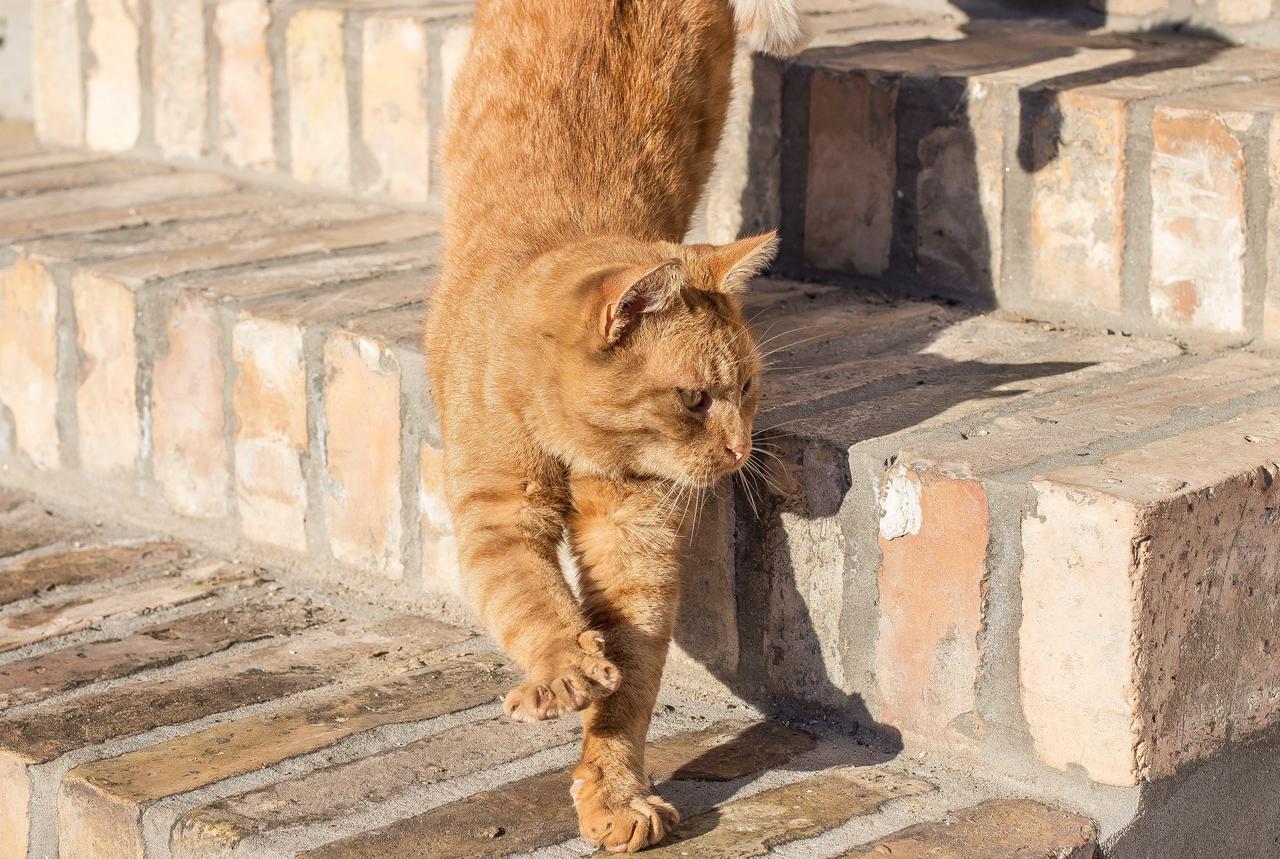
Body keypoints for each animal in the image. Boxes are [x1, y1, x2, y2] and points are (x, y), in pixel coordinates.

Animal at [430, 0, 808, 855]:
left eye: (748, 387)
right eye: (696, 398)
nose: (741, 448)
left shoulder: (636, 546)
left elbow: (631, 684)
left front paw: (613, 790)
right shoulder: (495, 514)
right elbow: (531, 602)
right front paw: (562, 669)